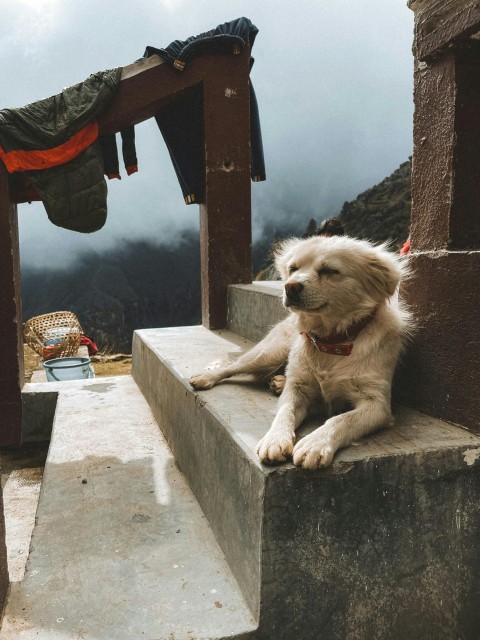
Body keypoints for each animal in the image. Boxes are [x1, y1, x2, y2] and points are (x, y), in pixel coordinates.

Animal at [189, 235, 410, 470]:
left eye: (329, 270)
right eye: (293, 268)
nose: (290, 287)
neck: (330, 342)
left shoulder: (377, 404)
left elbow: (341, 419)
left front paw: (315, 443)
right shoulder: (297, 391)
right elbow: (285, 411)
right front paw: (275, 439)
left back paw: (279, 382)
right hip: (269, 354)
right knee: (233, 365)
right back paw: (206, 377)